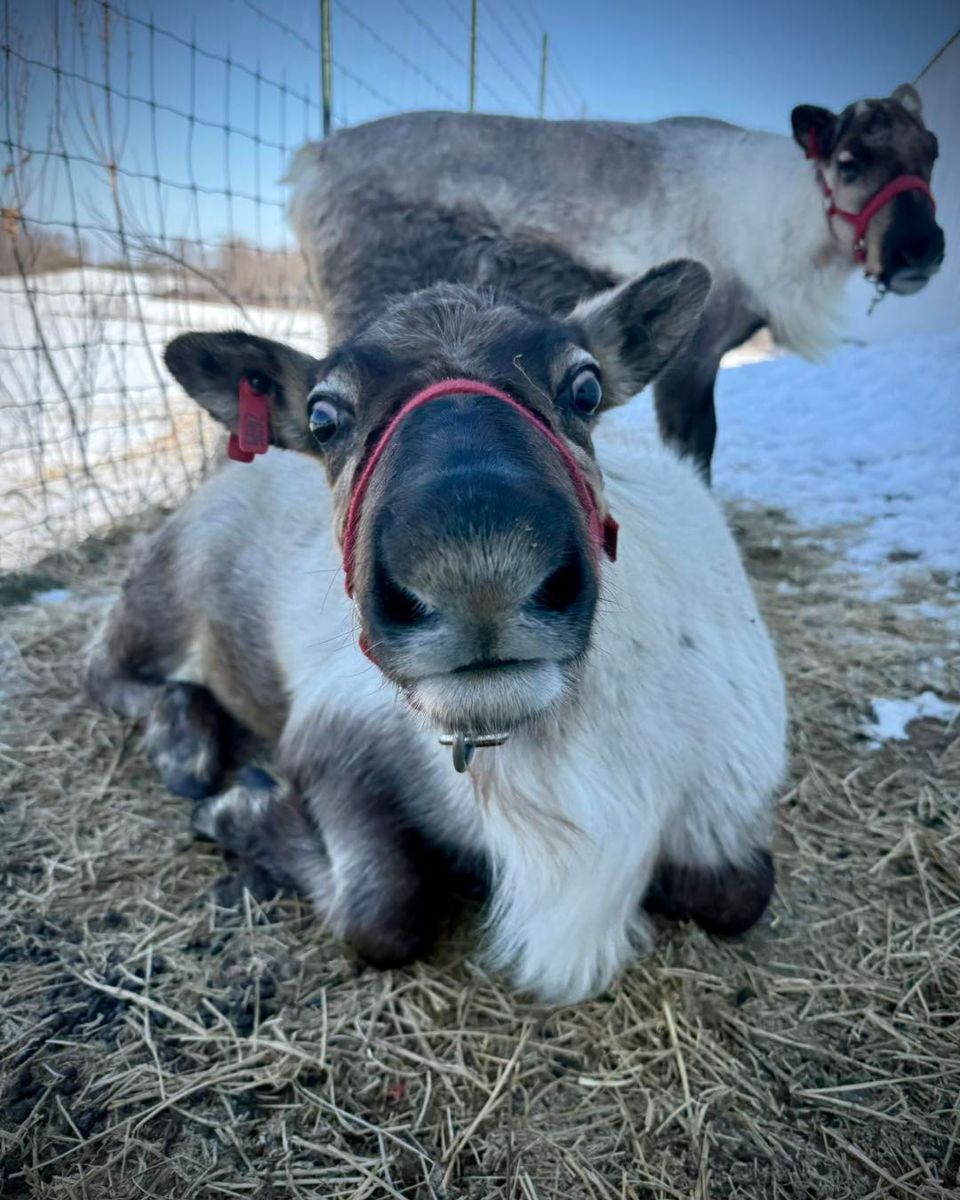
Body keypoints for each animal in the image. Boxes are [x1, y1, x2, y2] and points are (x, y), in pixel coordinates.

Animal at [85, 263, 787, 1003]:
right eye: (323, 417)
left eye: (586, 387)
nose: (477, 572)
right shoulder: (327, 735)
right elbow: (384, 913)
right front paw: (240, 810)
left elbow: (742, 892)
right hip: (166, 589)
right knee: (104, 671)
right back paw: (184, 749)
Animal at [286, 84, 943, 480]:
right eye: (849, 162)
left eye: (933, 151)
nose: (924, 248)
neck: (786, 226)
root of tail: (311, 161)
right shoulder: (692, 356)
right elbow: (695, 453)